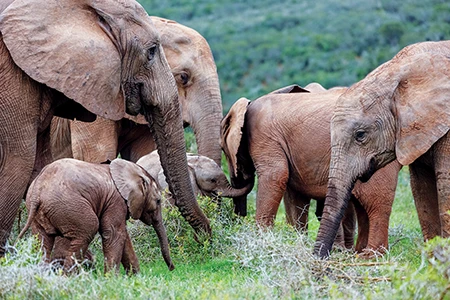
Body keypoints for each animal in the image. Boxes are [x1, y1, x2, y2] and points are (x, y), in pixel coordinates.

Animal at [17, 158, 173, 276]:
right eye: (158, 201)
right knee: (87, 230)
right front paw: (112, 279)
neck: (133, 171)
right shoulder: (115, 201)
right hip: (68, 205)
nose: (172, 269)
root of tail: (38, 188)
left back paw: (42, 275)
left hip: (40, 210)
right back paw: (69, 277)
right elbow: (113, 233)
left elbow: (124, 237)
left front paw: (135, 278)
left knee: (42, 240)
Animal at [221, 85, 400, 254]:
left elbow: (276, 175)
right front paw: (298, 241)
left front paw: (261, 243)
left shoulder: (263, 136)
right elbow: (295, 196)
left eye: (222, 149)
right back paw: (356, 253)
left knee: (374, 204)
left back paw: (371, 255)